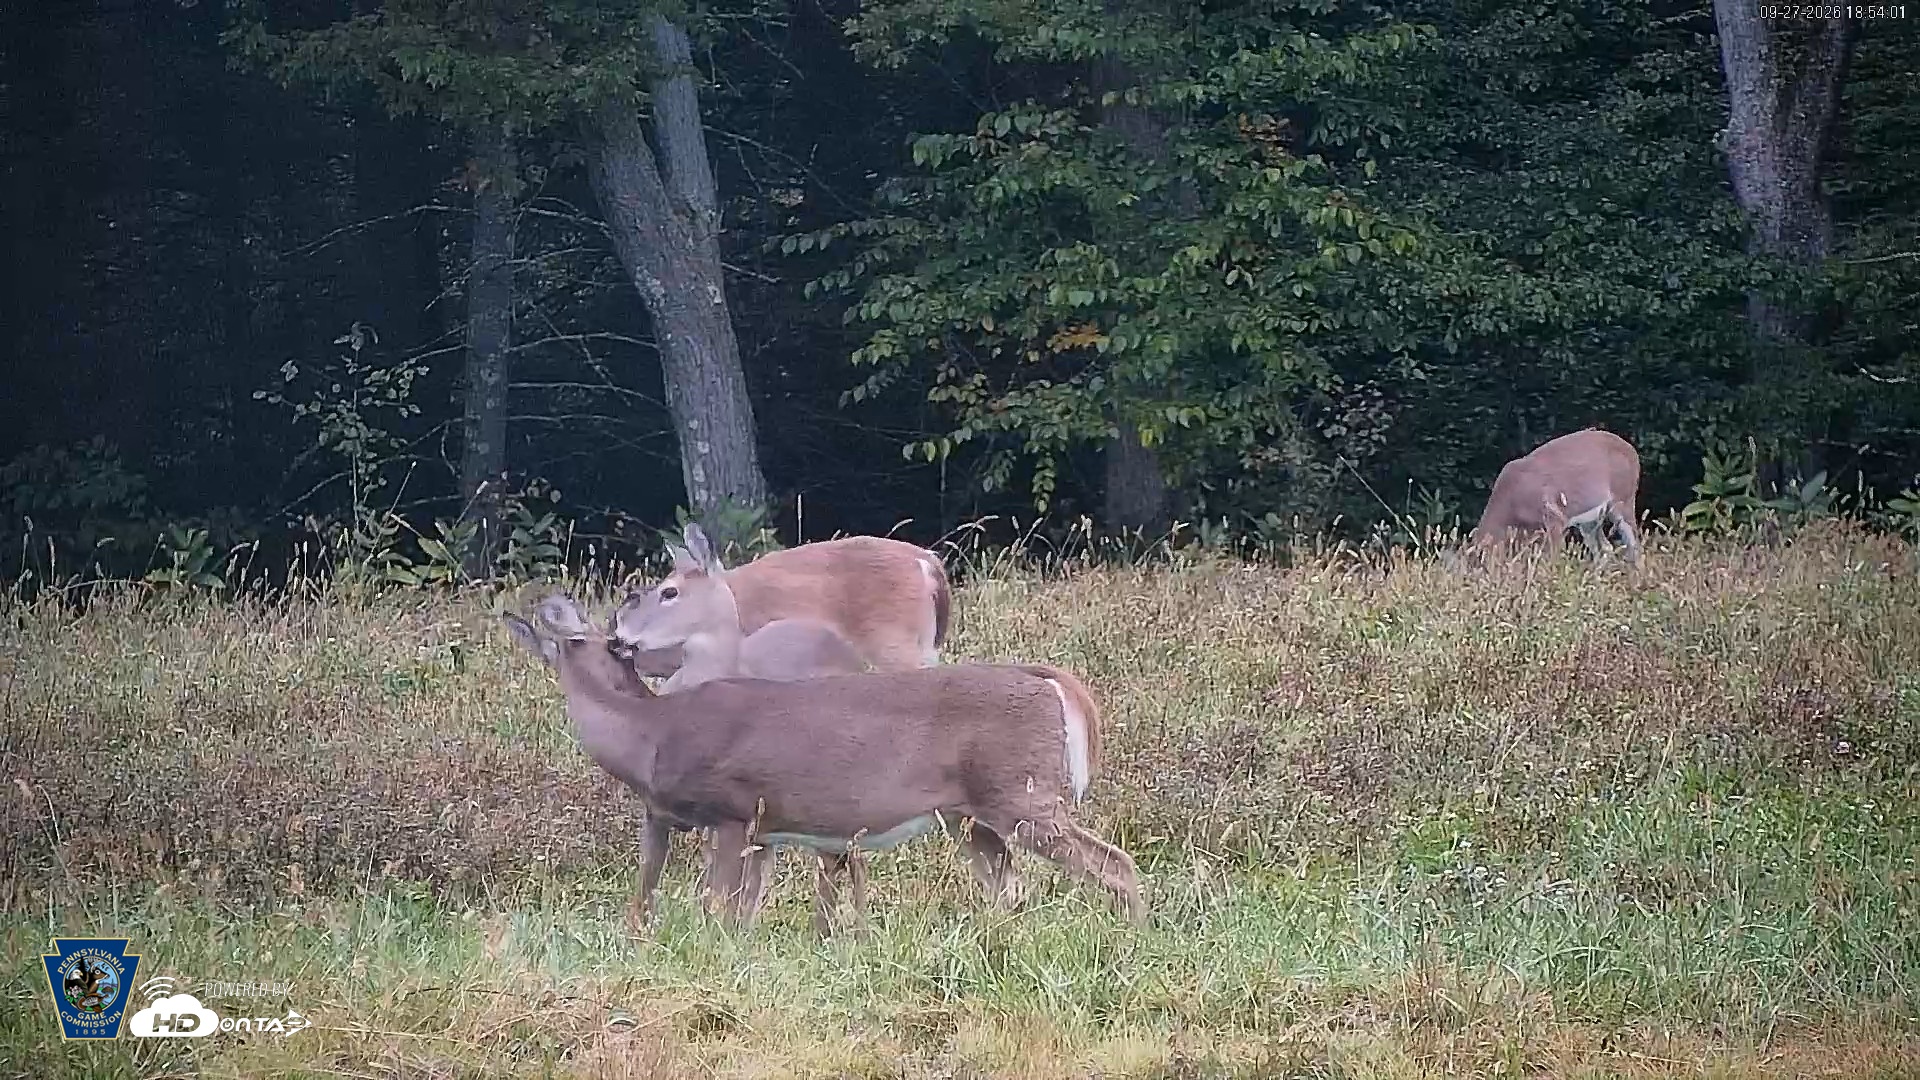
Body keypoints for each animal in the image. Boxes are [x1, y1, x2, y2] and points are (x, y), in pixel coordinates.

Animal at [502, 593, 1146, 936]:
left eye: (582, 641)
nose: (611, 638)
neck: (651, 737)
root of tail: (1045, 678)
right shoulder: (738, 828)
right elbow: (702, 905)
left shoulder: (734, 810)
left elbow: (718, 907)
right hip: (970, 815)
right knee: (1010, 887)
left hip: (1023, 793)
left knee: (1115, 862)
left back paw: (1134, 937)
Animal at [1462, 427, 1643, 565]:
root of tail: (1633, 451)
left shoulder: (1554, 518)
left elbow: (1552, 559)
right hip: (1591, 519)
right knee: (1606, 548)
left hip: (1624, 499)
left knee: (1634, 543)